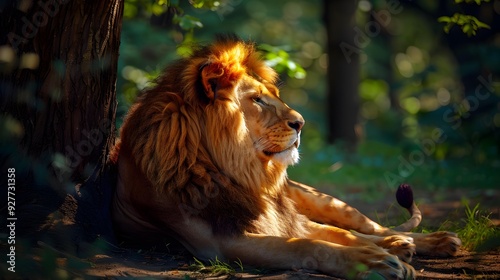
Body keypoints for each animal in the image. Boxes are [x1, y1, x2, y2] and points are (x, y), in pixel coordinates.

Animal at [111, 35, 462, 280]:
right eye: (257, 100)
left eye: (274, 97)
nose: (301, 123)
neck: (242, 172)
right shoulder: (220, 243)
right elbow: (309, 244)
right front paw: (375, 260)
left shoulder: (284, 219)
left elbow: (340, 235)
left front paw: (382, 254)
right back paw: (401, 245)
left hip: (320, 200)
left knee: (373, 227)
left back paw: (426, 241)